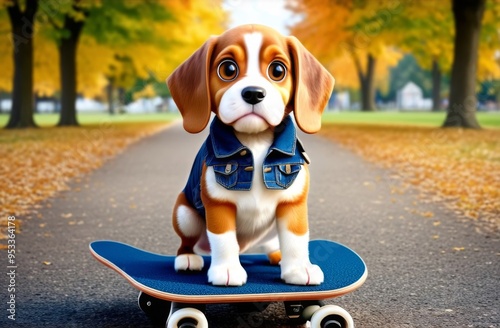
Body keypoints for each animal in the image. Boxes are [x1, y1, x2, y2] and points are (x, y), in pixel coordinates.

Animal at [168, 24, 336, 286]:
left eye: (278, 70)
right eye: (228, 69)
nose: (254, 93)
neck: (255, 141)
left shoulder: (293, 203)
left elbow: (296, 238)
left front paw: (299, 269)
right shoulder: (219, 203)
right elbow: (224, 239)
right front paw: (227, 270)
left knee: (272, 242)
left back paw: (276, 255)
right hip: (184, 214)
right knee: (189, 242)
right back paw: (187, 258)